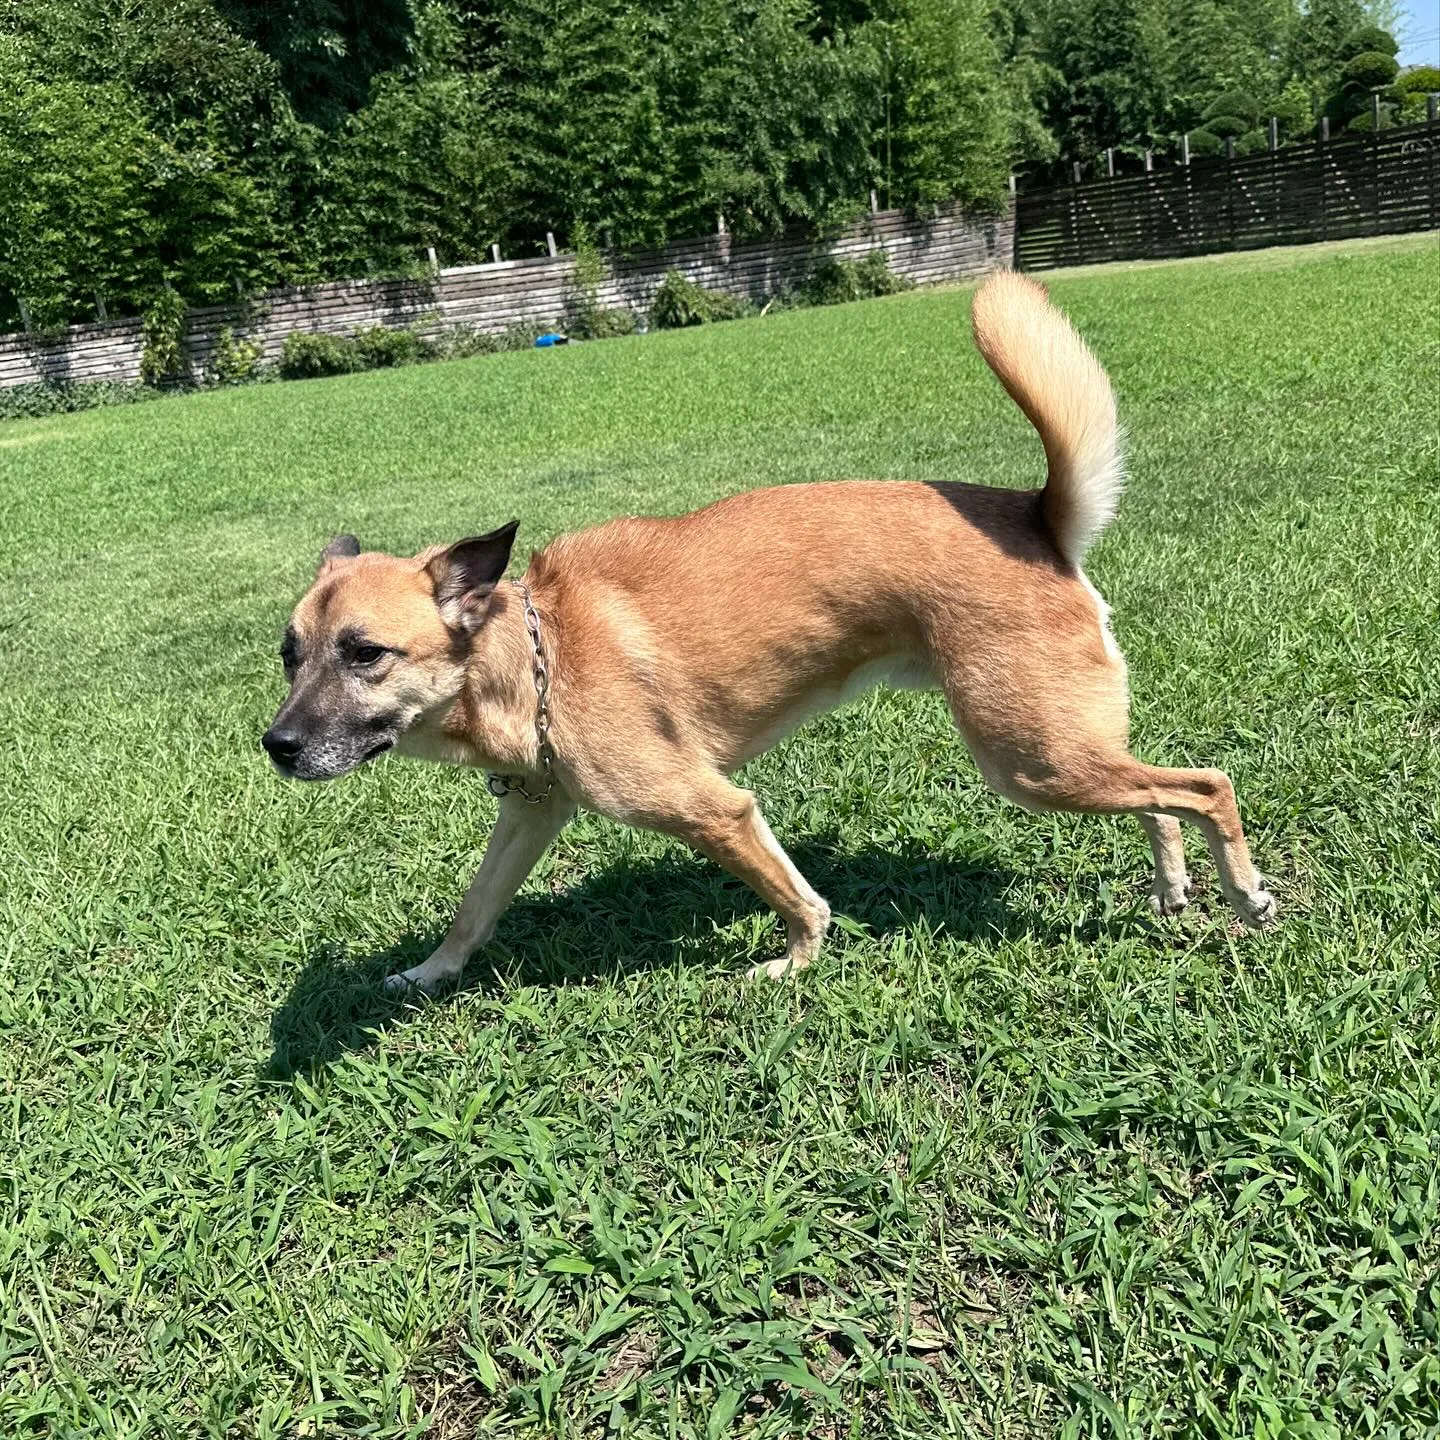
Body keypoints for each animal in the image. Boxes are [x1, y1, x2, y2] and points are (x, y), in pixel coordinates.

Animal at [264, 272, 1278, 990]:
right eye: (288, 654)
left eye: (366, 654)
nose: (276, 745)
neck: (530, 658)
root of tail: (1037, 516)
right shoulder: (531, 811)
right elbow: (473, 909)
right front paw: (428, 973)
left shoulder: (712, 808)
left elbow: (793, 895)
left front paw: (796, 960)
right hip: (1062, 744)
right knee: (1160, 797)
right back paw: (1173, 887)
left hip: (1028, 758)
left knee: (1207, 784)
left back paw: (1246, 895)